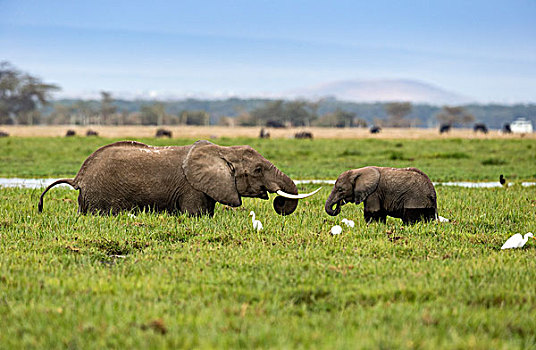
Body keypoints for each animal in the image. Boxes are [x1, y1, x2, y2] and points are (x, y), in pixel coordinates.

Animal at [38, 139, 318, 216]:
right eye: (258, 170)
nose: (278, 202)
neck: (222, 150)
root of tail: (78, 178)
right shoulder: (191, 188)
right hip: (100, 197)